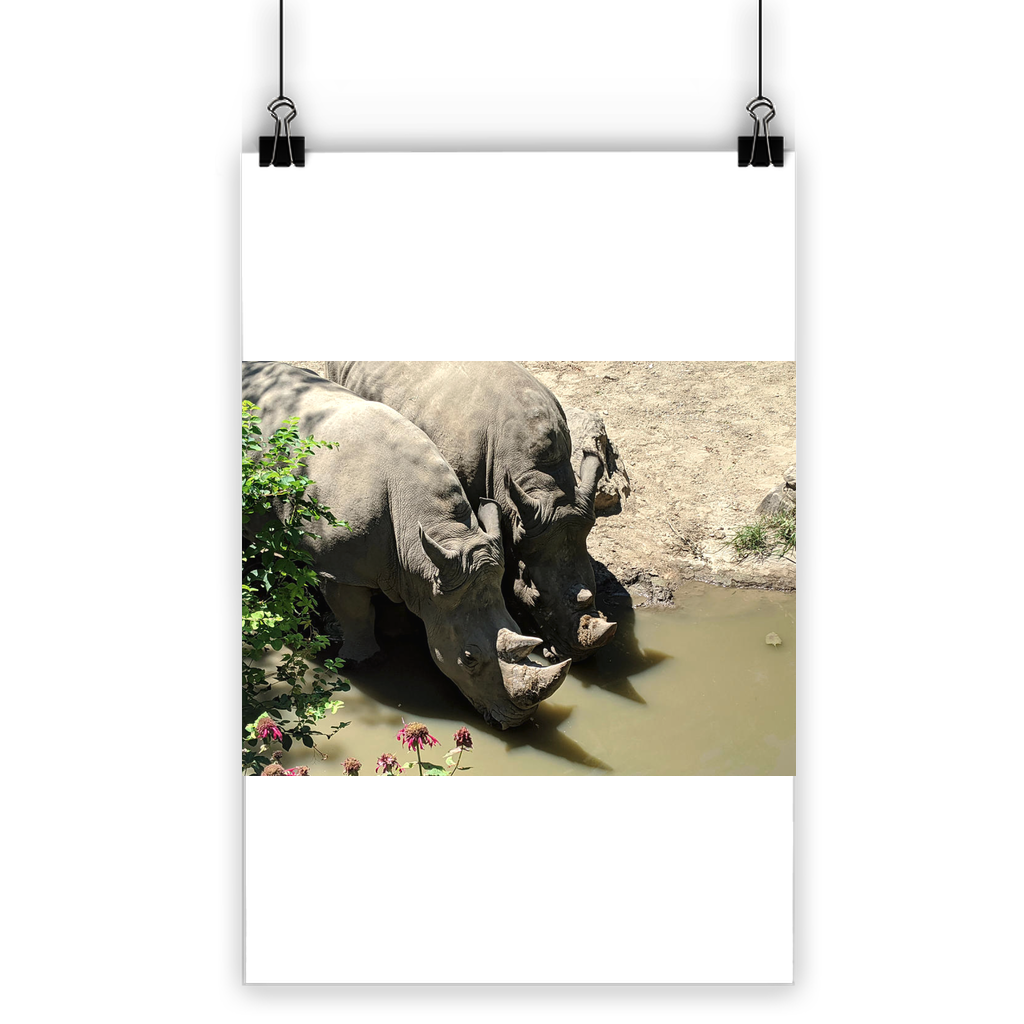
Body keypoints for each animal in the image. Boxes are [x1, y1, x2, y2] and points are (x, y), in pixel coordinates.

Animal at [242, 361, 570, 729]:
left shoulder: (419, 566)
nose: (518, 722)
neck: (440, 530)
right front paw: (365, 662)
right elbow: (355, 615)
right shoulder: (339, 568)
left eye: (519, 629)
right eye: (468, 657)